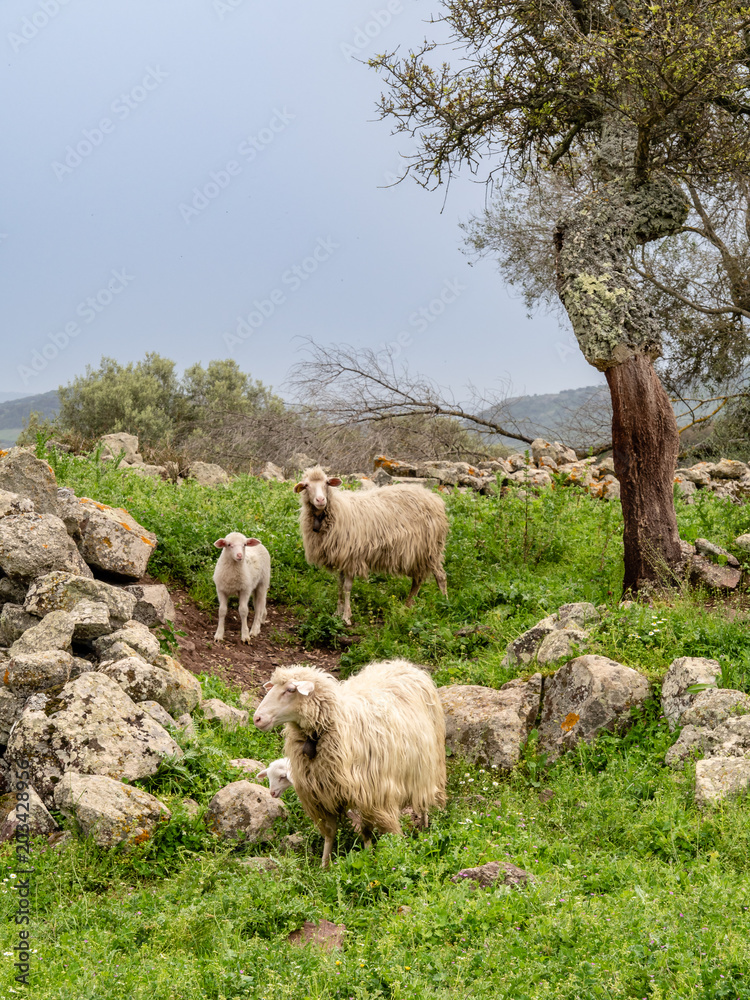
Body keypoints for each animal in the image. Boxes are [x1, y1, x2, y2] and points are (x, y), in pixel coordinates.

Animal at [253, 659, 447, 868]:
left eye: (290, 690)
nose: (257, 718)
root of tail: (402, 664)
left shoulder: (371, 794)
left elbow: (368, 830)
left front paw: (375, 855)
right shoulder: (321, 796)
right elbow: (330, 833)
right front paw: (324, 865)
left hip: (429, 765)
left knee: (424, 799)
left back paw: (425, 825)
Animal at [294, 465, 448, 624]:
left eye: (326, 483)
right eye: (306, 485)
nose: (320, 499)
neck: (335, 510)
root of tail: (434, 497)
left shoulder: (351, 557)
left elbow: (347, 588)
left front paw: (346, 616)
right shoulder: (341, 558)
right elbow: (339, 586)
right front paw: (337, 613)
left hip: (431, 549)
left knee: (441, 576)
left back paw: (444, 603)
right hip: (418, 553)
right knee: (418, 580)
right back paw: (408, 605)